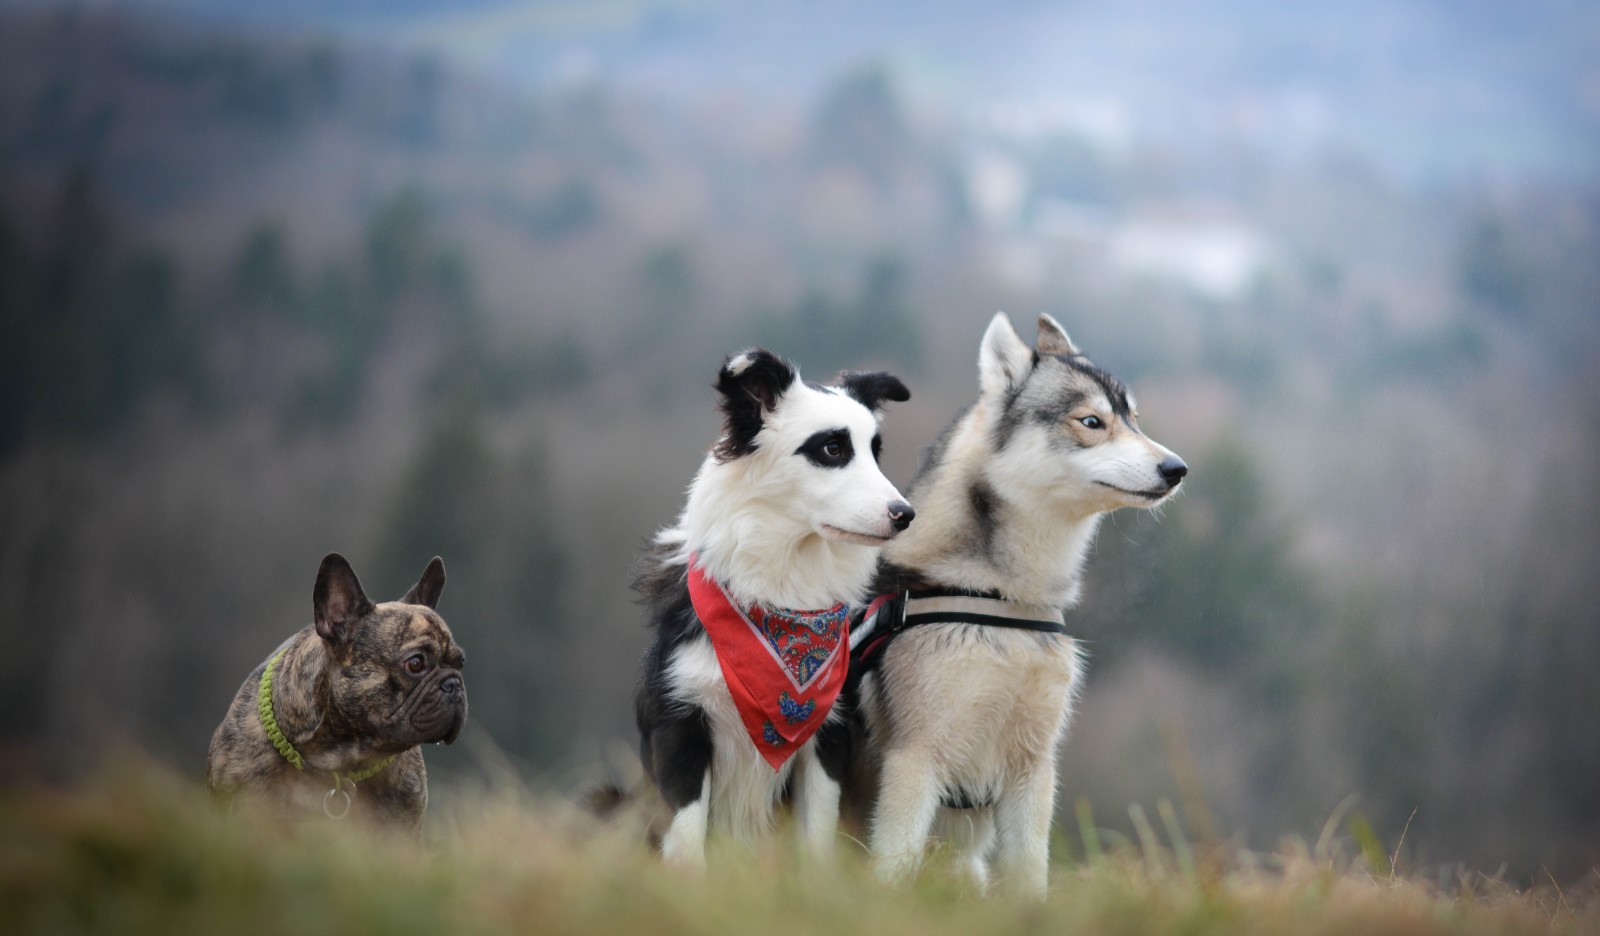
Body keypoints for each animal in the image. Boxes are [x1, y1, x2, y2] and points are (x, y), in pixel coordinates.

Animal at [633, 350, 915, 870]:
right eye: (831, 449)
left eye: (875, 451)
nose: (905, 514)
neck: (781, 594)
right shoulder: (679, 726)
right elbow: (685, 839)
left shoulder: (828, 735)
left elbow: (817, 836)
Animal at [838, 315, 1190, 896]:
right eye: (1091, 421)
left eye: (1133, 420)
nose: (1177, 468)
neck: (1003, 601)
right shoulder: (914, 762)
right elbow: (895, 864)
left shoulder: (1034, 768)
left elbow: (1028, 872)